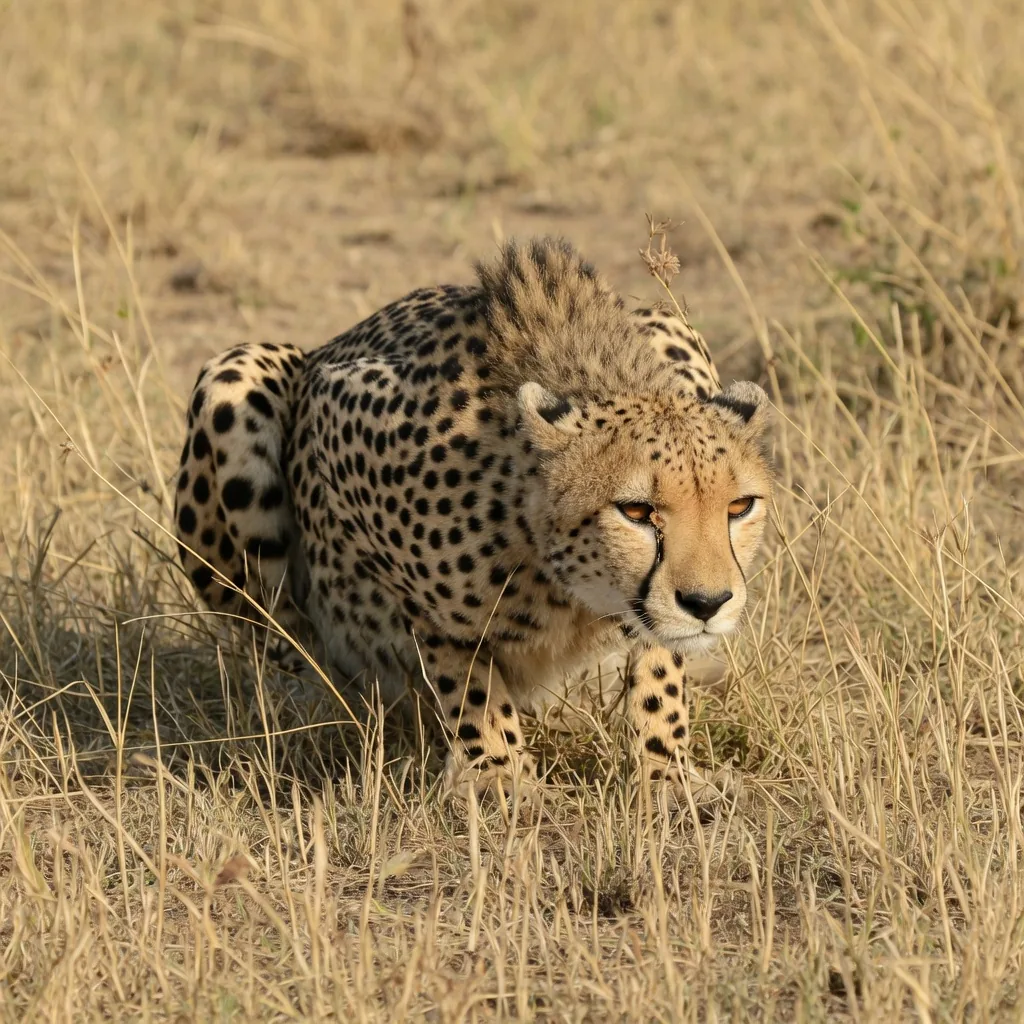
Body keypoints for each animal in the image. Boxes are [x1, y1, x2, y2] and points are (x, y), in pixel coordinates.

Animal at [173, 236, 774, 804]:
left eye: (738, 507)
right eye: (635, 511)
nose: (707, 604)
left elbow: (658, 663)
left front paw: (668, 772)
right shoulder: (337, 410)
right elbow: (459, 658)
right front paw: (497, 774)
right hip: (235, 377)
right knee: (281, 635)